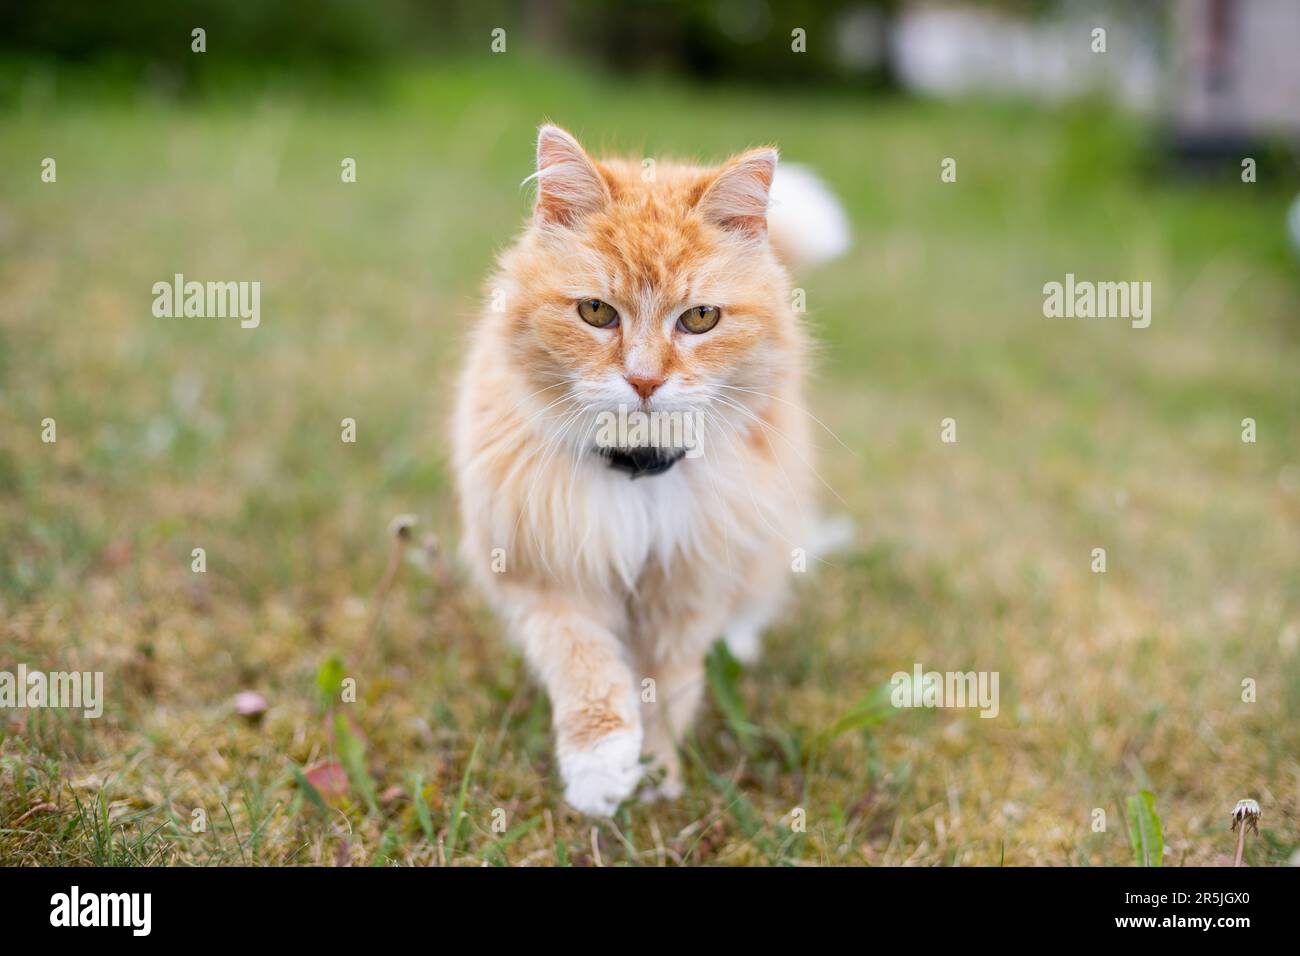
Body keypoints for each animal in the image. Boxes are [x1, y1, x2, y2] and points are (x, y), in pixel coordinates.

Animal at [452, 127, 847, 816]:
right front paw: (601, 768)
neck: (637, 474)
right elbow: (586, 667)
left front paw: (658, 774)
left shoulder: (687, 591)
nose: (643, 381)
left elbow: (667, 690)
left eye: (699, 319)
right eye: (595, 312)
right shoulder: (544, 575)